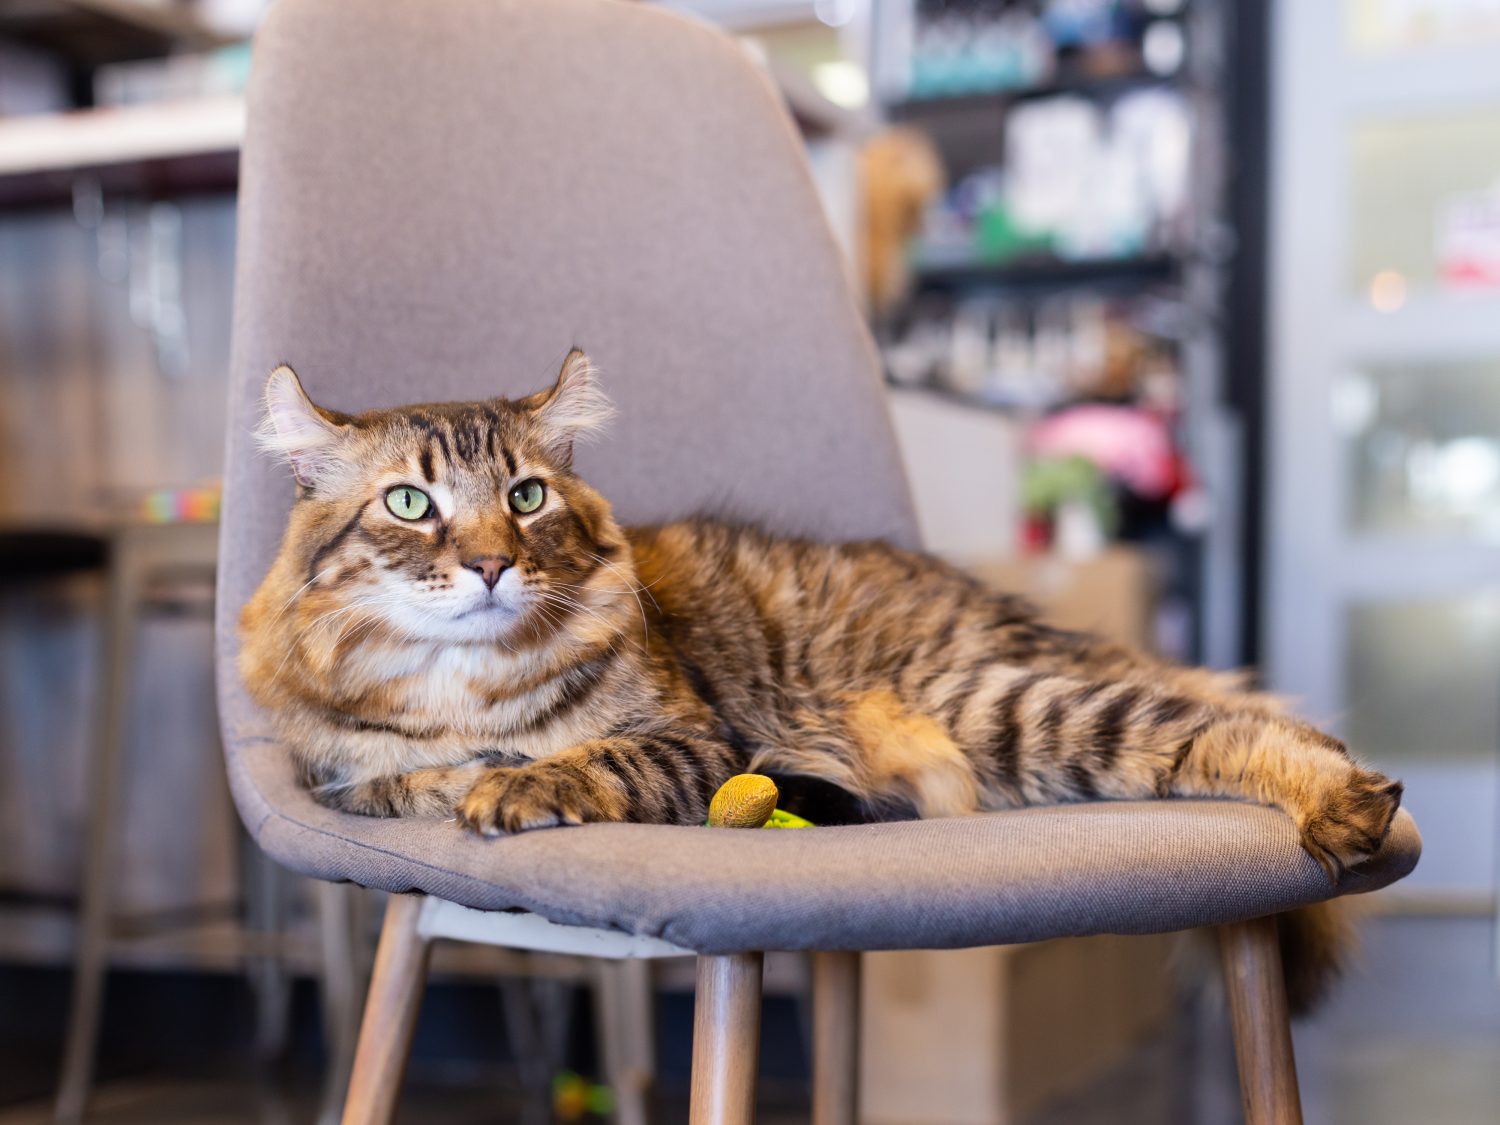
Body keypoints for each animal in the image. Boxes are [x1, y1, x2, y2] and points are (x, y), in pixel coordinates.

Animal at [243, 351, 1404, 1002]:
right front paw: (464, 777)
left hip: (1004, 706)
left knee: (1237, 725)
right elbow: (403, 782)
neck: (466, 684)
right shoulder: (346, 778)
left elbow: (588, 759)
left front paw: (518, 784)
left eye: (526, 498)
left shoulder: (696, 741)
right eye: (410, 504)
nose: (491, 564)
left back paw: (1346, 804)